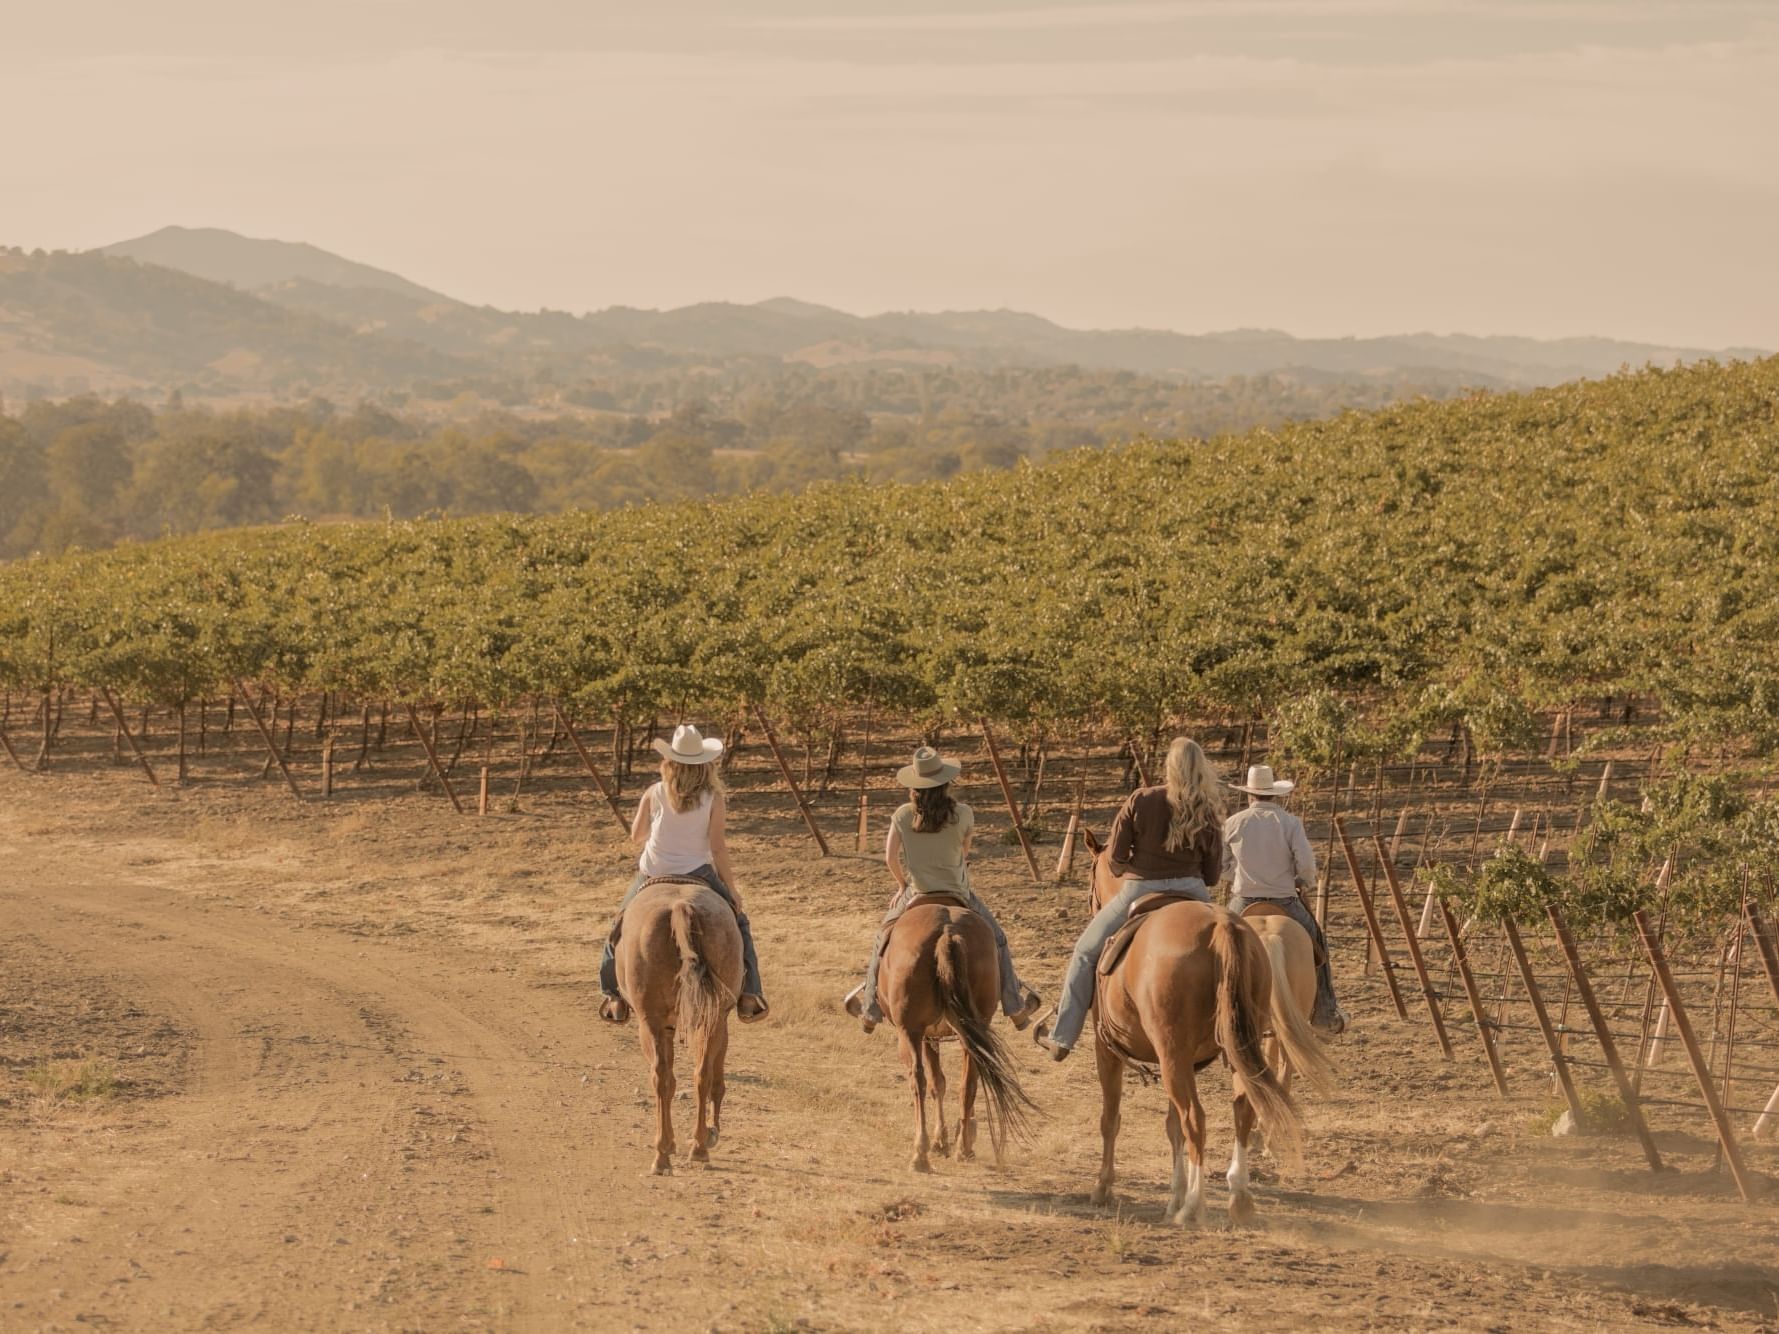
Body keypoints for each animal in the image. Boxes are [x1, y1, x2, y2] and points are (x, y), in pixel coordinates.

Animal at [619, 882, 743, 1173]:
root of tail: (680, 907)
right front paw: (709, 1133)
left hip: (651, 1022)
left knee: (663, 1077)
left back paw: (666, 1152)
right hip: (709, 1019)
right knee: (701, 1075)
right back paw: (697, 1147)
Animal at [871, 903, 1038, 1173]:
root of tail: (947, 933)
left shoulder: (925, 1036)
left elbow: (935, 1083)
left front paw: (939, 1142)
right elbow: (943, 1082)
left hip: (910, 1031)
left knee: (918, 1079)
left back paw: (920, 1154)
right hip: (972, 1031)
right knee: (968, 1082)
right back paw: (964, 1148)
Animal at [1067, 839, 1337, 1230]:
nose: (1092, 903)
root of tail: (1222, 926)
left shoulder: (1108, 1049)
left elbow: (1112, 1119)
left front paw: (1104, 1187)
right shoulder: (1183, 1063)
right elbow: (1171, 1127)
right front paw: (1173, 1196)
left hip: (1174, 1056)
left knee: (1197, 1118)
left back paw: (1193, 1207)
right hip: (1230, 1048)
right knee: (1243, 1108)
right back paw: (1238, 1195)